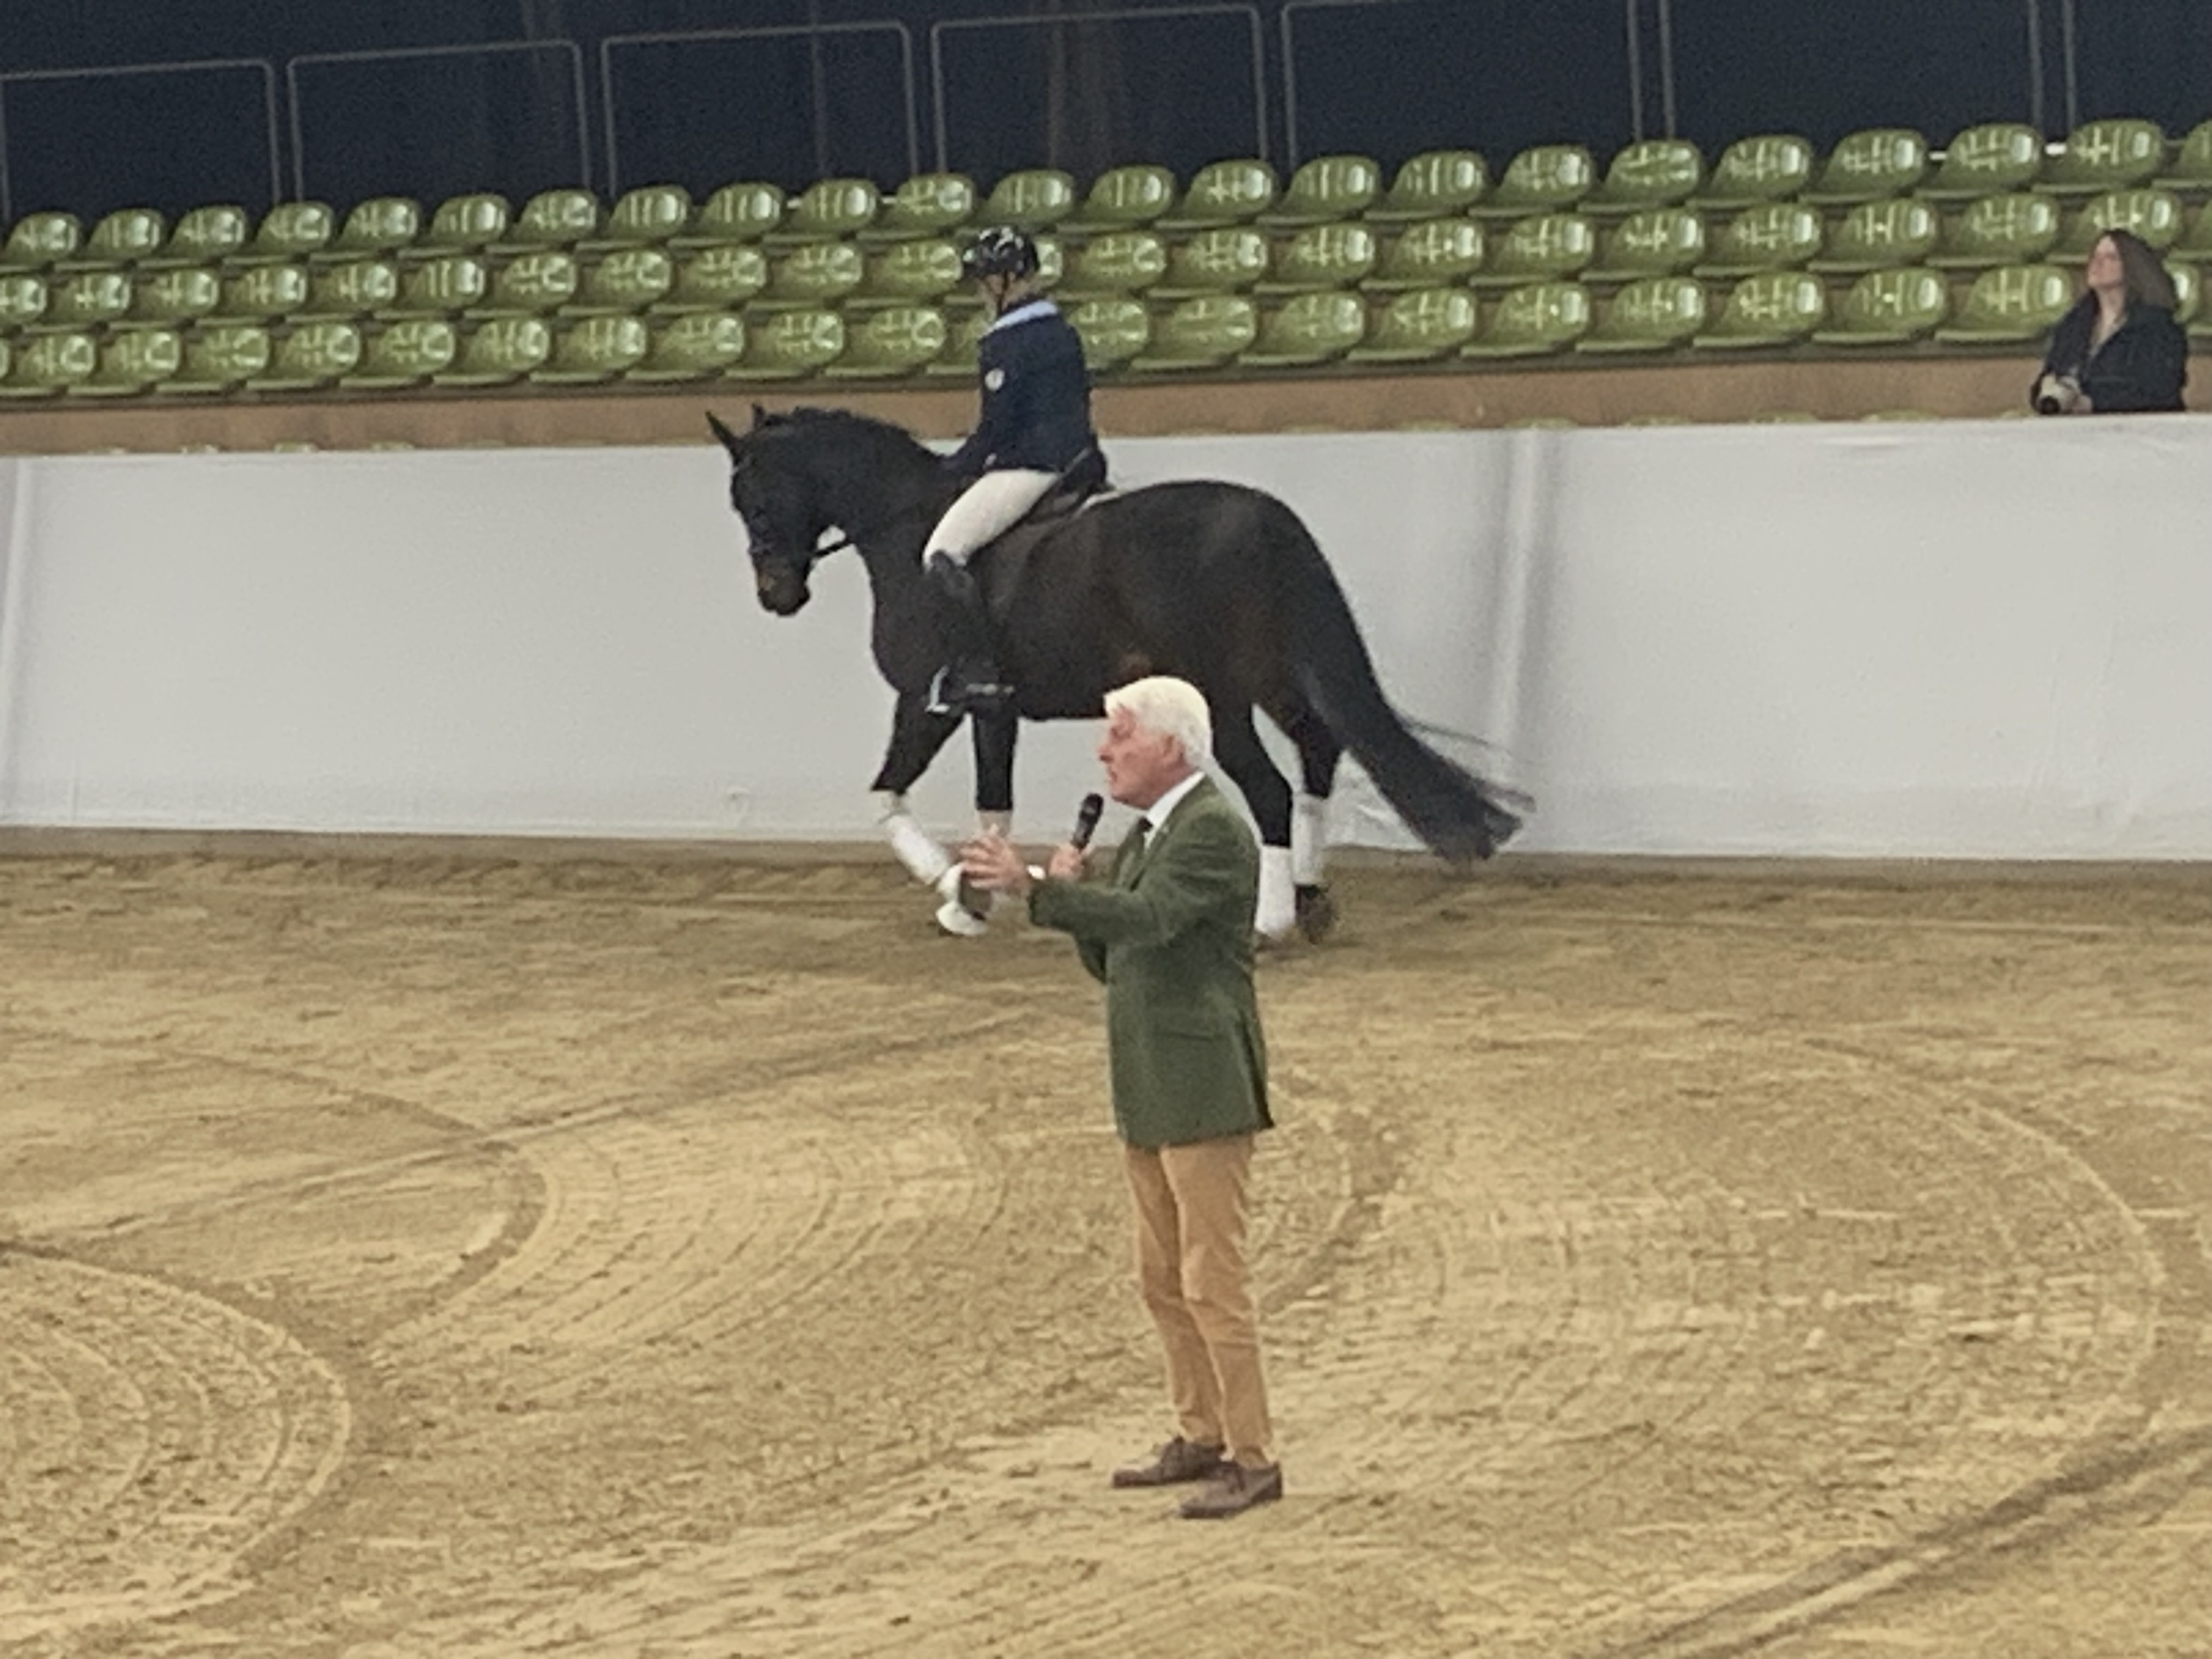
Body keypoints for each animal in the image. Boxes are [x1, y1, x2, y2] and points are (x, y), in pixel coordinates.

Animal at [707, 404, 1522, 939]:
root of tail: (1263, 515)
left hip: (1219, 694)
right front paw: (982, 891)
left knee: (1271, 786)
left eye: (753, 498)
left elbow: (886, 797)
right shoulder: (993, 710)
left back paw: (1271, 921)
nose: (777, 595)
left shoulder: (928, 701)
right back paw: (1311, 897)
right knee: (1320, 752)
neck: (905, 532)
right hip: (1272, 676)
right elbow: (992, 802)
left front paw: (955, 890)